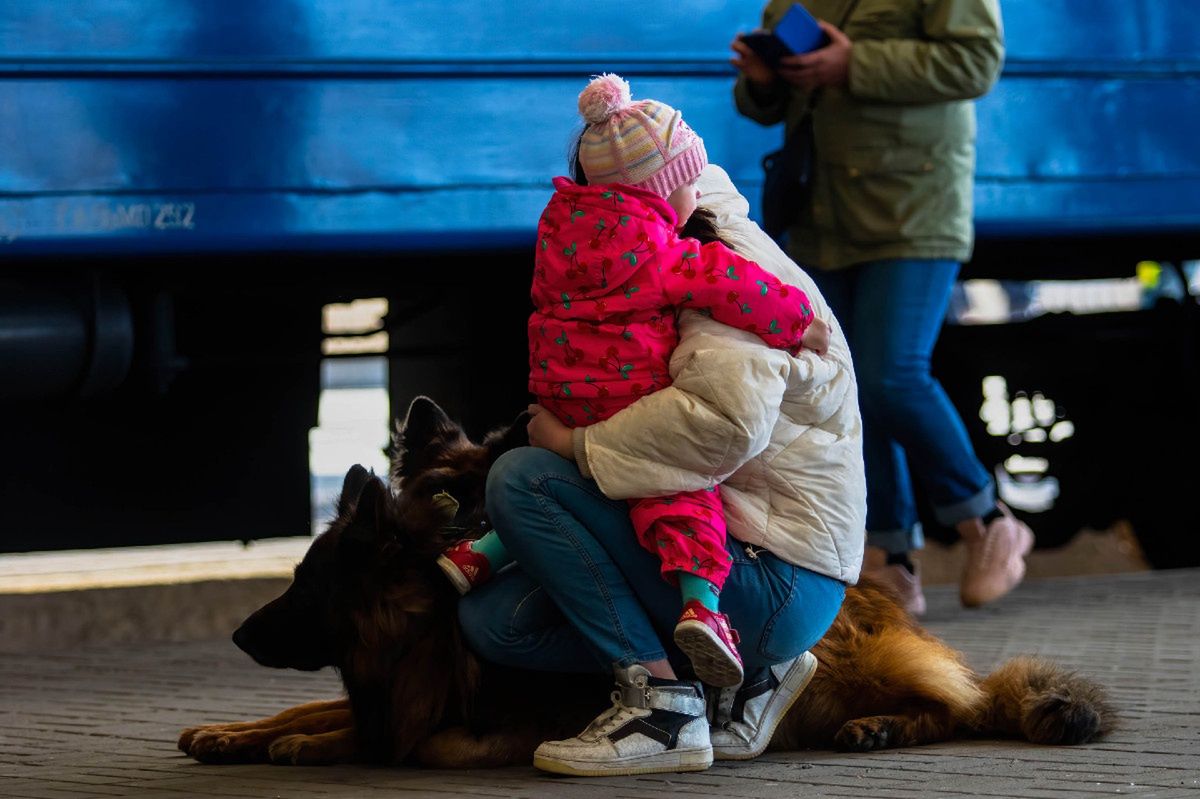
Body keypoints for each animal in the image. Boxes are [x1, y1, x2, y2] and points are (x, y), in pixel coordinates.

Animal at [180, 395, 1113, 767]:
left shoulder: (461, 715)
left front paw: (305, 744)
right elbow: (307, 708)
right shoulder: (385, 687)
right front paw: (231, 730)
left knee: (960, 705)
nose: (237, 633)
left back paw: (882, 724)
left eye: (303, 588)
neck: (415, 621)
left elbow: (396, 736)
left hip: (848, 658)